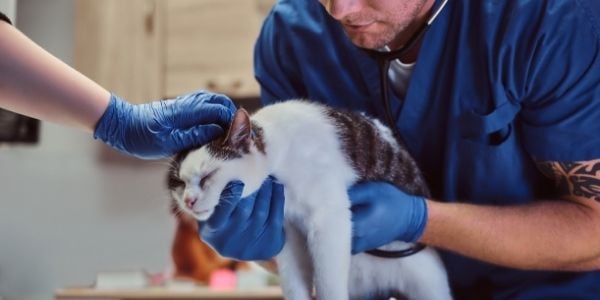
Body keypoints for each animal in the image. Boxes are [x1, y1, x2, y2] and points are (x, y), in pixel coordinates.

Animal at [166, 99, 448, 298]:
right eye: (179, 183)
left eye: (207, 176)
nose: (189, 201)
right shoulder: (288, 233)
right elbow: (294, 282)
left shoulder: (329, 219)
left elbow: (327, 283)